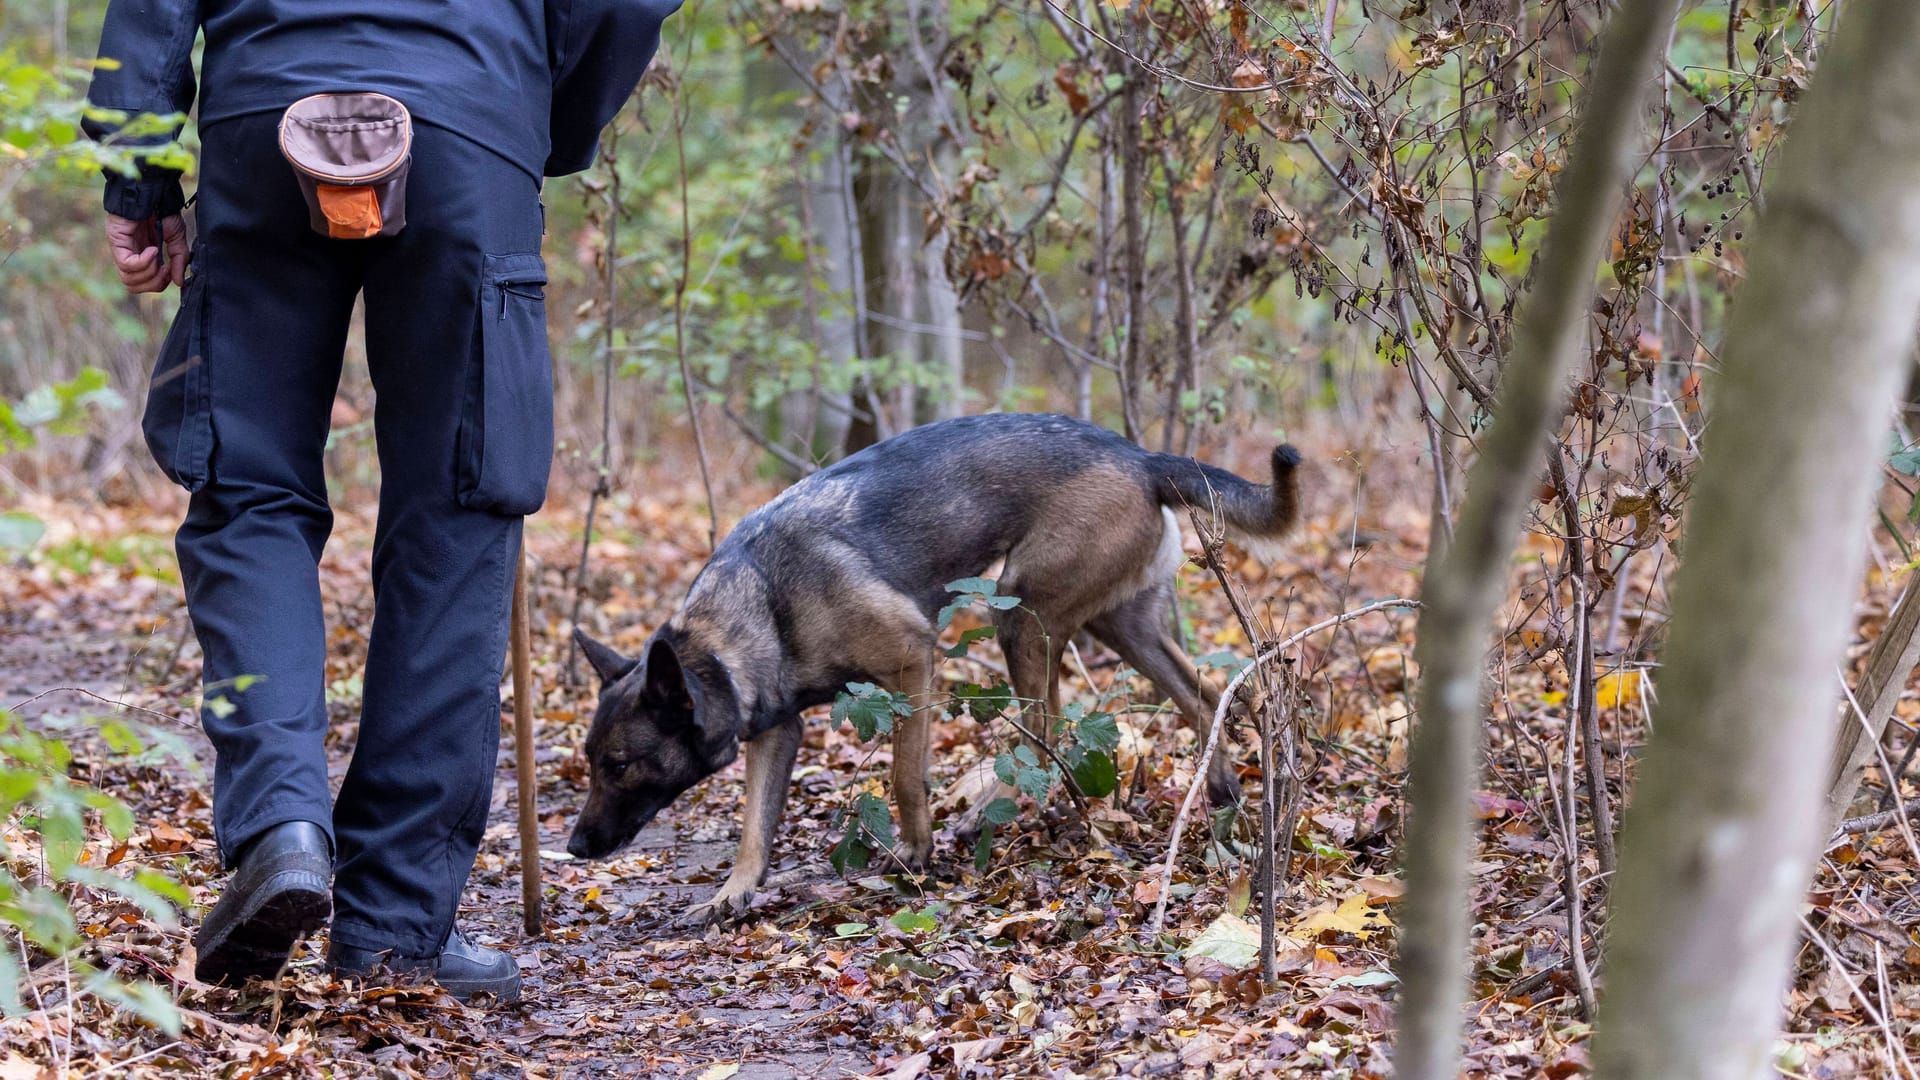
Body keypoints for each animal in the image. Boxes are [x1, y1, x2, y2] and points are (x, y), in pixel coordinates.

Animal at [560, 407, 1297, 922]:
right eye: (592, 763)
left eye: (619, 766)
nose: (573, 849)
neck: (752, 614)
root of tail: (1141, 456)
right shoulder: (775, 732)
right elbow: (753, 827)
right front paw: (733, 893)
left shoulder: (911, 662)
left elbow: (903, 776)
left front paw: (915, 853)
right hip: (1119, 625)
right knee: (1205, 698)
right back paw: (1223, 797)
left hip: (1021, 616)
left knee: (1045, 733)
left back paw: (988, 814)